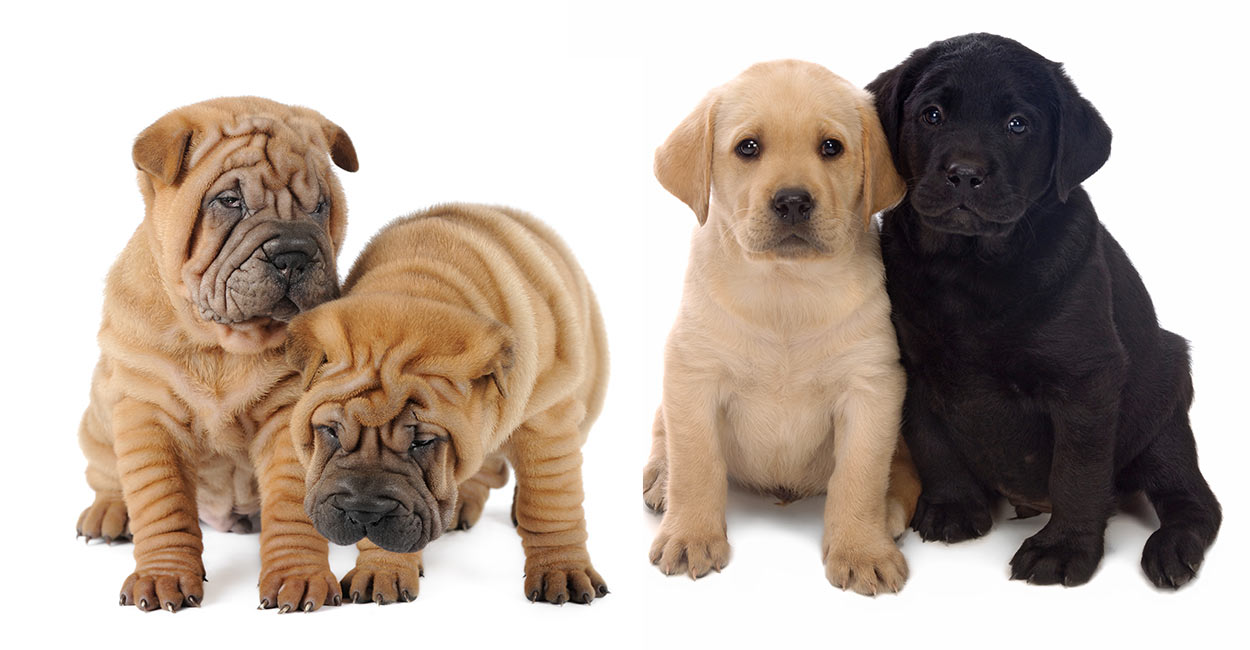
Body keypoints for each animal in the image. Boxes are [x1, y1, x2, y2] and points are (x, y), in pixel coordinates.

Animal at [74, 93, 357, 612]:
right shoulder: (147, 414)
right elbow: (161, 504)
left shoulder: (289, 416)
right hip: (98, 418)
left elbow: (290, 507)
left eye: (320, 206)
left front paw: (299, 576)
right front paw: (162, 577)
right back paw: (108, 512)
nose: (294, 253)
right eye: (230, 202)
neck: (221, 343)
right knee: (106, 473)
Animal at [287, 202, 610, 605]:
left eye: (422, 442)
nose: (364, 512)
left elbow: (551, 504)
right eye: (330, 432)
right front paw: (383, 570)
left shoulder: (546, 420)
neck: (418, 286)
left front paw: (562, 570)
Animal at [650, 59, 925, 595]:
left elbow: (860, 475)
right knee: (661, 433)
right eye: (748, 147)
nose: (793, 201)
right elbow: (695, 462)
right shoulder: (692, 372)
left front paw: (861, 549)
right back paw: (658, 480)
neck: (786, 289)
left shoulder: (872, 385)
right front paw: (691, 535)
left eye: (831, 147)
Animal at [870, 31, 1220, 590]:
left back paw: (1170, 548)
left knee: (1194, 500)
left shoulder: (1086, 381)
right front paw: (952, 505)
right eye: (932, 115)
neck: (968, 269)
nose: (964, 174)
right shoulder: (913, 365)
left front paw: (1063, 548)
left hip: (1163, 409)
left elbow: (1077, 472)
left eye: (1018, 124)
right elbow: (931, 440)